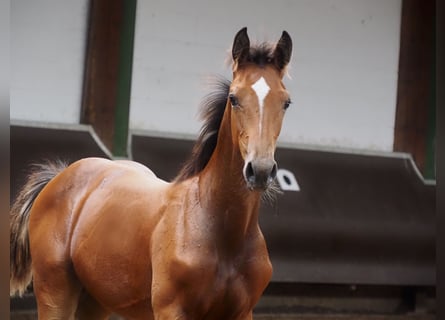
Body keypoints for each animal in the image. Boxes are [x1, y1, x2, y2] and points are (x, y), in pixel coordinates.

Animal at [10, 28, 292, 320]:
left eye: (286, 102)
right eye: (234, 98)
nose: (260, 170)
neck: (221, 232)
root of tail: (60, 174)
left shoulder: (242, 313)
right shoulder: (171, 310)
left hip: (95, 300)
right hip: (54, 292)